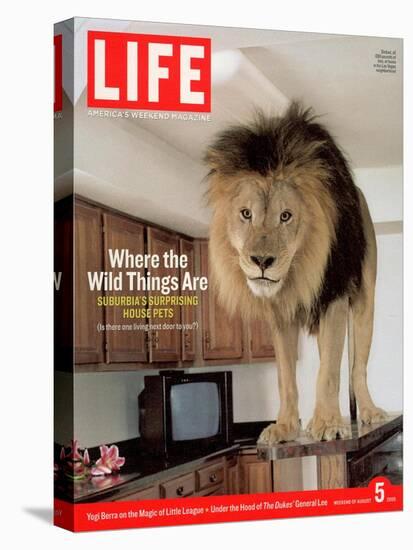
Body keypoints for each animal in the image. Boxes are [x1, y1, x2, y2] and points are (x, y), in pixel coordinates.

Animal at [204, 102, 384, 444]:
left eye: (286, 216)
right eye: (246, 214)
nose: (262, 260)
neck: (297, 274)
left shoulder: (333, 296)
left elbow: (329, 372)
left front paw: (328, 423)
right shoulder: (280, 314)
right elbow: (285, 377)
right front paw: (285, 426)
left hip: (364, 301)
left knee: (357, 368)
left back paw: (369, 411)